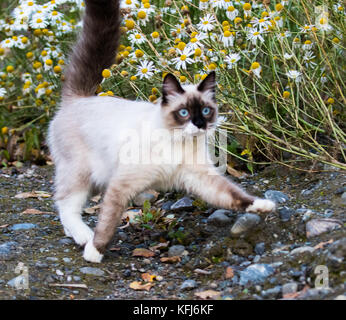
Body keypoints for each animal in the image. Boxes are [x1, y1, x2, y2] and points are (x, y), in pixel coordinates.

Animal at [48, 0, 276, 264]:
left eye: (206, 111)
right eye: (184, 113)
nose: (200, 124)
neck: (177, 141)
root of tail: (80, 97)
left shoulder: (202, 178)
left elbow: (234, 195)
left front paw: (262, 205)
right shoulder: (121, 185)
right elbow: (108, 221)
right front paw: (95, 251)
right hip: (80, 173)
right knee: (65, 204)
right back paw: (84, 236)